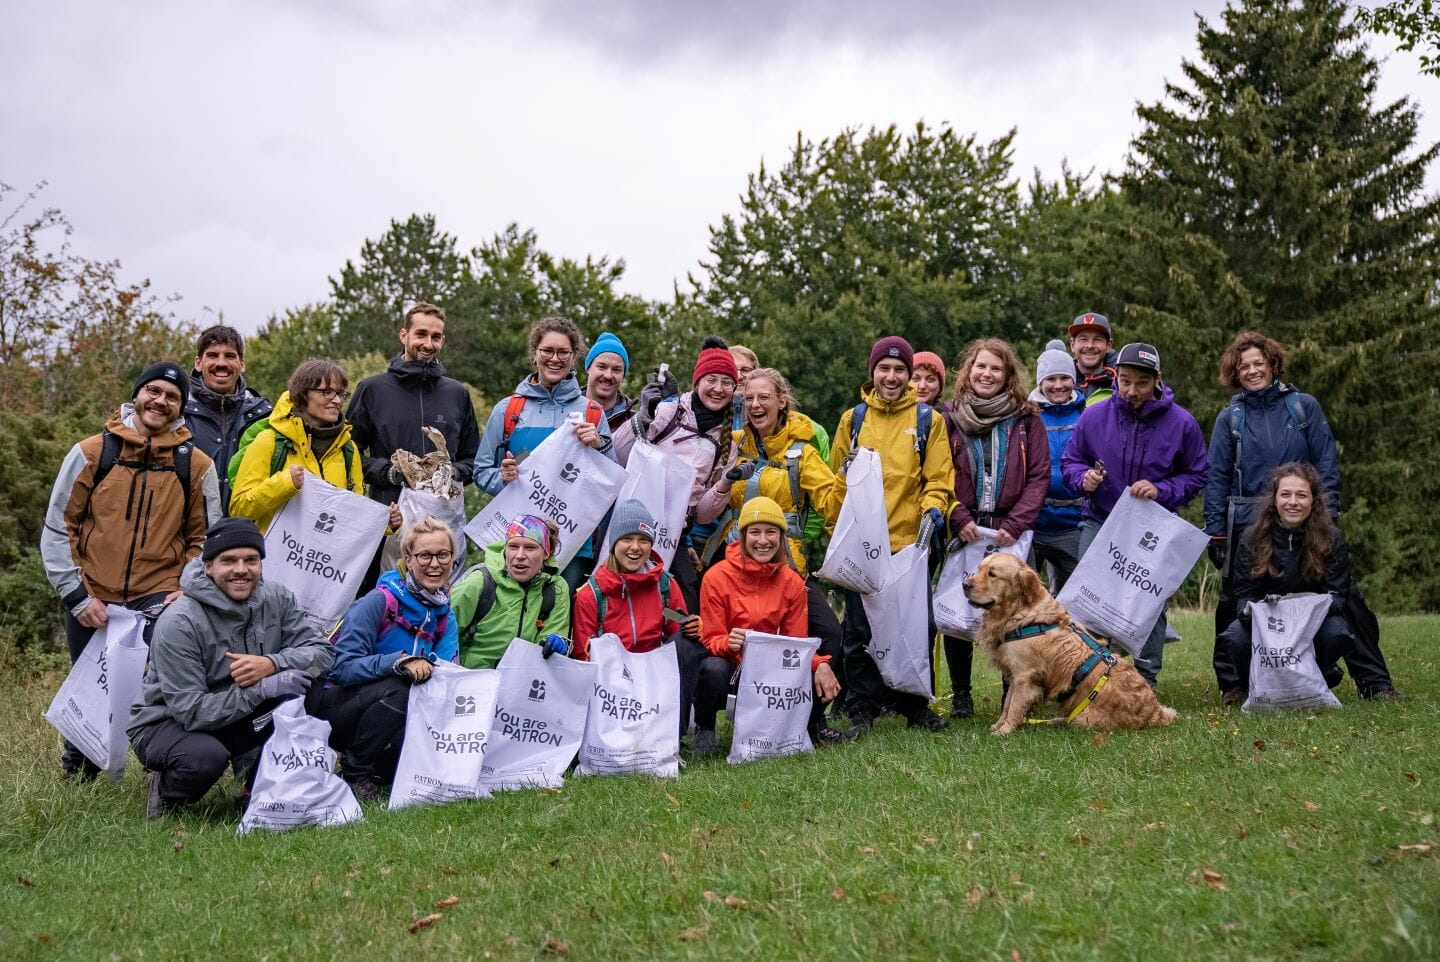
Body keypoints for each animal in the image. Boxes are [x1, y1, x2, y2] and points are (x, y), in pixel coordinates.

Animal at [961, 553, 1175, 731]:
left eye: (992, 574)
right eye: (980, 568)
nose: (964, 584)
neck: (1022, 614)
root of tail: (1153, 711)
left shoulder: (1024, 675)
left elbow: (1013, 706)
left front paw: (1004, 731)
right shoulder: (1015, 674)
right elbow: (1007, 704)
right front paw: (998, 725)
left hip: (1084, 718)